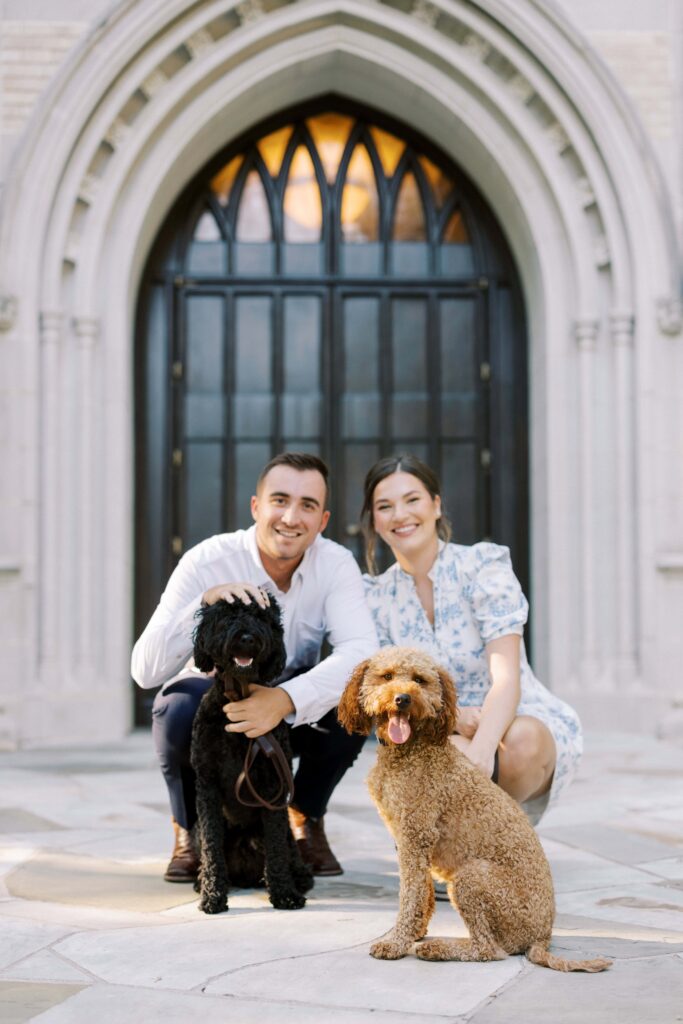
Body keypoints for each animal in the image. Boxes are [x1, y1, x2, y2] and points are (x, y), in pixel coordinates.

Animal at [189, 598, 313, 917]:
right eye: (228, 616)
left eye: (261, 618)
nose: (247, 637)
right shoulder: (206, 785)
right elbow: (212, 846)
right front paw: (212, 896)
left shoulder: (273, 784)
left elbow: (276, 848)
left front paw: (284, 894)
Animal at [339, 647, 610, 966]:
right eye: (387, 676)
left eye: (419, 680)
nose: (403, 699)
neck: (411, 749)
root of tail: (543, 937)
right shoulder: (410, 840)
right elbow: (422, 892)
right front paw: (414, 932)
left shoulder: (416, 834)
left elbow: (410, 894)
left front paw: (396, 942)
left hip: (472, 877)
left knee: (488, 950)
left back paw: (439, 948)